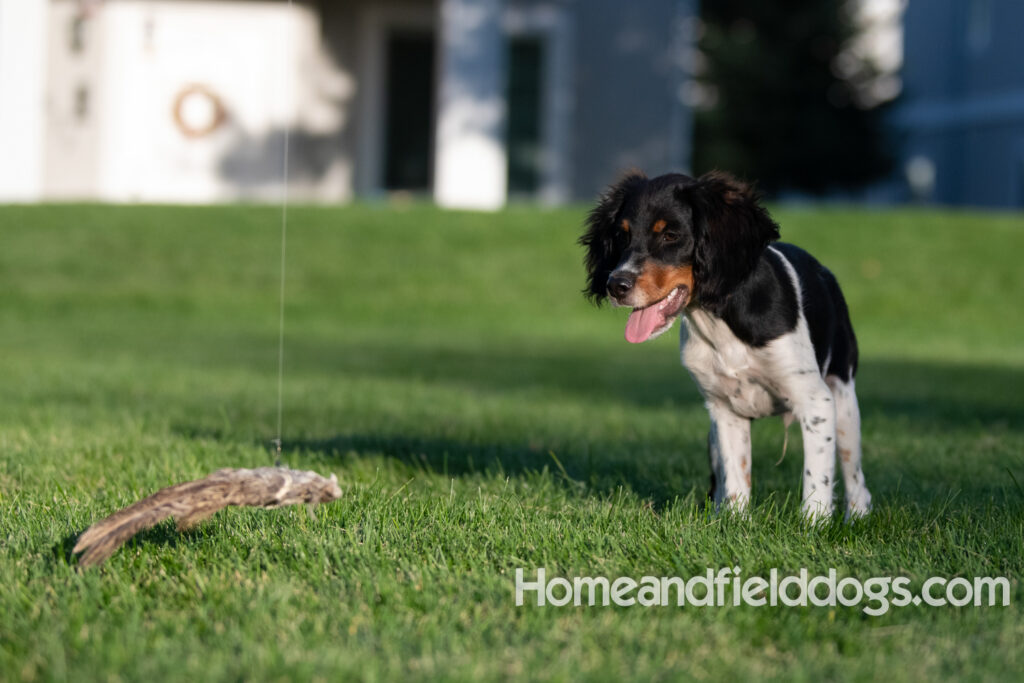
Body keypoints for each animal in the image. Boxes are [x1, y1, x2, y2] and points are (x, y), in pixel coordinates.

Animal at [585, 172, 872, 524]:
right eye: (621, 235)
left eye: (670, 235)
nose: (616, 285)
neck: (719, 319)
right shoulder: (723, 410)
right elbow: (736, 476)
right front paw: (734, 523)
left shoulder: (815, 401)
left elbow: (816, 477)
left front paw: (813, 525)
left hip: (843, 400)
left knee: (855, 476)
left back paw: (857, 517)